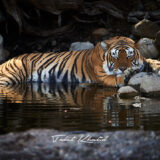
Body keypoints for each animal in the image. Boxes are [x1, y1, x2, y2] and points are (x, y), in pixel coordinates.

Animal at [0, 36, 148, 87]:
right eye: (115, 57)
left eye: (129, 56)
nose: (123, 68)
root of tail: (7, 61)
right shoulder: (103, 77)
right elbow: (118, 79)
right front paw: (127, 75)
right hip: (12, 75)